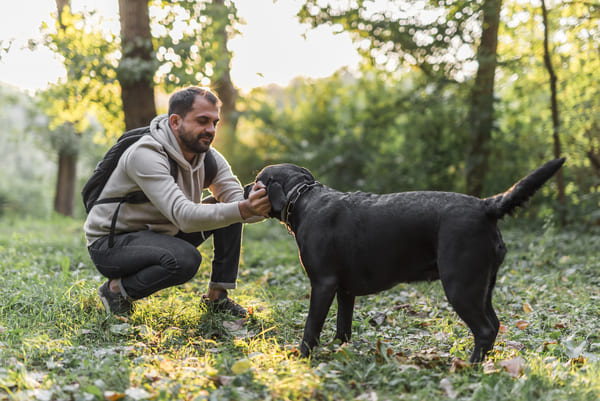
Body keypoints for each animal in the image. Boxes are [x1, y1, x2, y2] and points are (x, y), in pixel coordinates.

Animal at [246, 158, 564, 360]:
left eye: (258, 179)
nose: (246, 188)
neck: (303, 198)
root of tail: (486, 205)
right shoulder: (345, 290)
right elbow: (343, 327)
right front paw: (341, 351)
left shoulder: (323, 284)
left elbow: (311, 327)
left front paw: (301, 357)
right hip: (482, 286)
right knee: (495, 325)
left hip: (460, 285)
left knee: (485, 329)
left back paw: (469, 367)